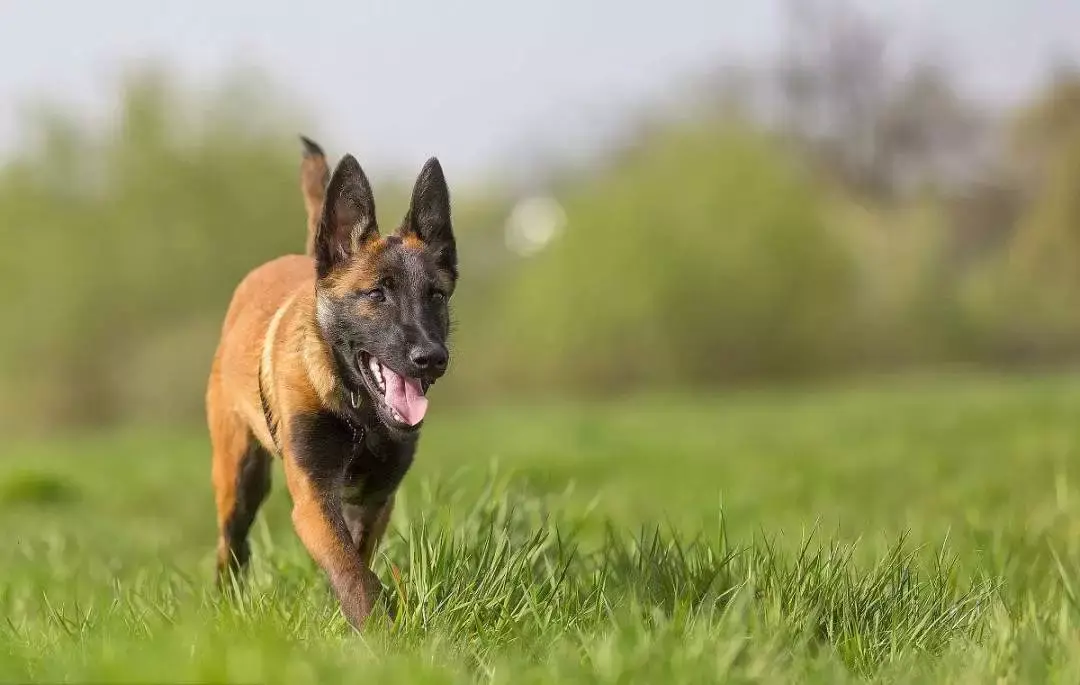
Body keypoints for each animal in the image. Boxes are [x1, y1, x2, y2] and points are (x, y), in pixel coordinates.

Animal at [205, 136, 455, 626]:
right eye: (377, 294)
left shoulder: (375, 498)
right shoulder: (313, 498)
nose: (431, 358)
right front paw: (380, 630)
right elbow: (352, 572)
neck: (358, 413)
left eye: (435, 295)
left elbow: (356, 561)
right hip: (239, 474)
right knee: (232, 544)